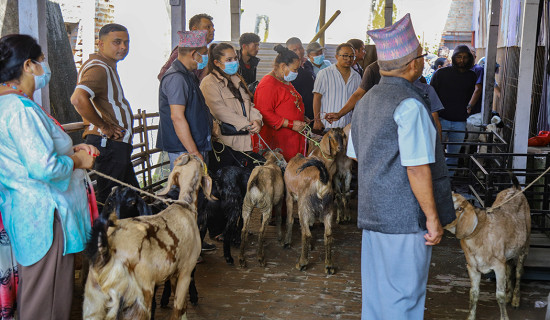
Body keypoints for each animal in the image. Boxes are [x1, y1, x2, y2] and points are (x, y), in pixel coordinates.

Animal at [83, 155, 215, 320]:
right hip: (140, 297)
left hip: (94, 301)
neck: (185, 206)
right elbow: (178, 309)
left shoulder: (173, 274)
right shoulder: (186, 271)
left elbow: (182, 307)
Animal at [446, 176, 532, 320]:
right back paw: (510, 297)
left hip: (525, 246)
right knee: (510, 269)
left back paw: (515, 300)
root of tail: (515, 188)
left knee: (519, 272)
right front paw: (471, 317)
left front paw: (504, 317)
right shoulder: (472, 267)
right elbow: (473, 294)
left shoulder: (498, 265)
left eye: (459, 208)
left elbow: (499, 295)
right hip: (508, 254)